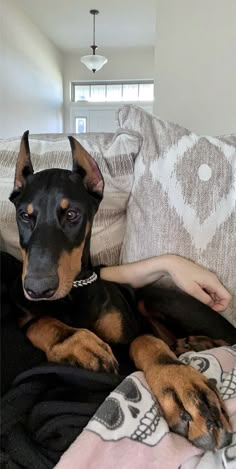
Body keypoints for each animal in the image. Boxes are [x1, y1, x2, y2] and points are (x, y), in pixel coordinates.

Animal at [9, 131, 236, 450]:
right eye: (24, 215)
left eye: (72, 214)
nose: (37, 288)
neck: (73, 293)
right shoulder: (26, 313)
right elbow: (39, 322)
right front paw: (78, 343)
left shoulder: (129, 338)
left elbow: (143, 340)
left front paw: (181, 384)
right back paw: (194, 344)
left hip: (155, 295)